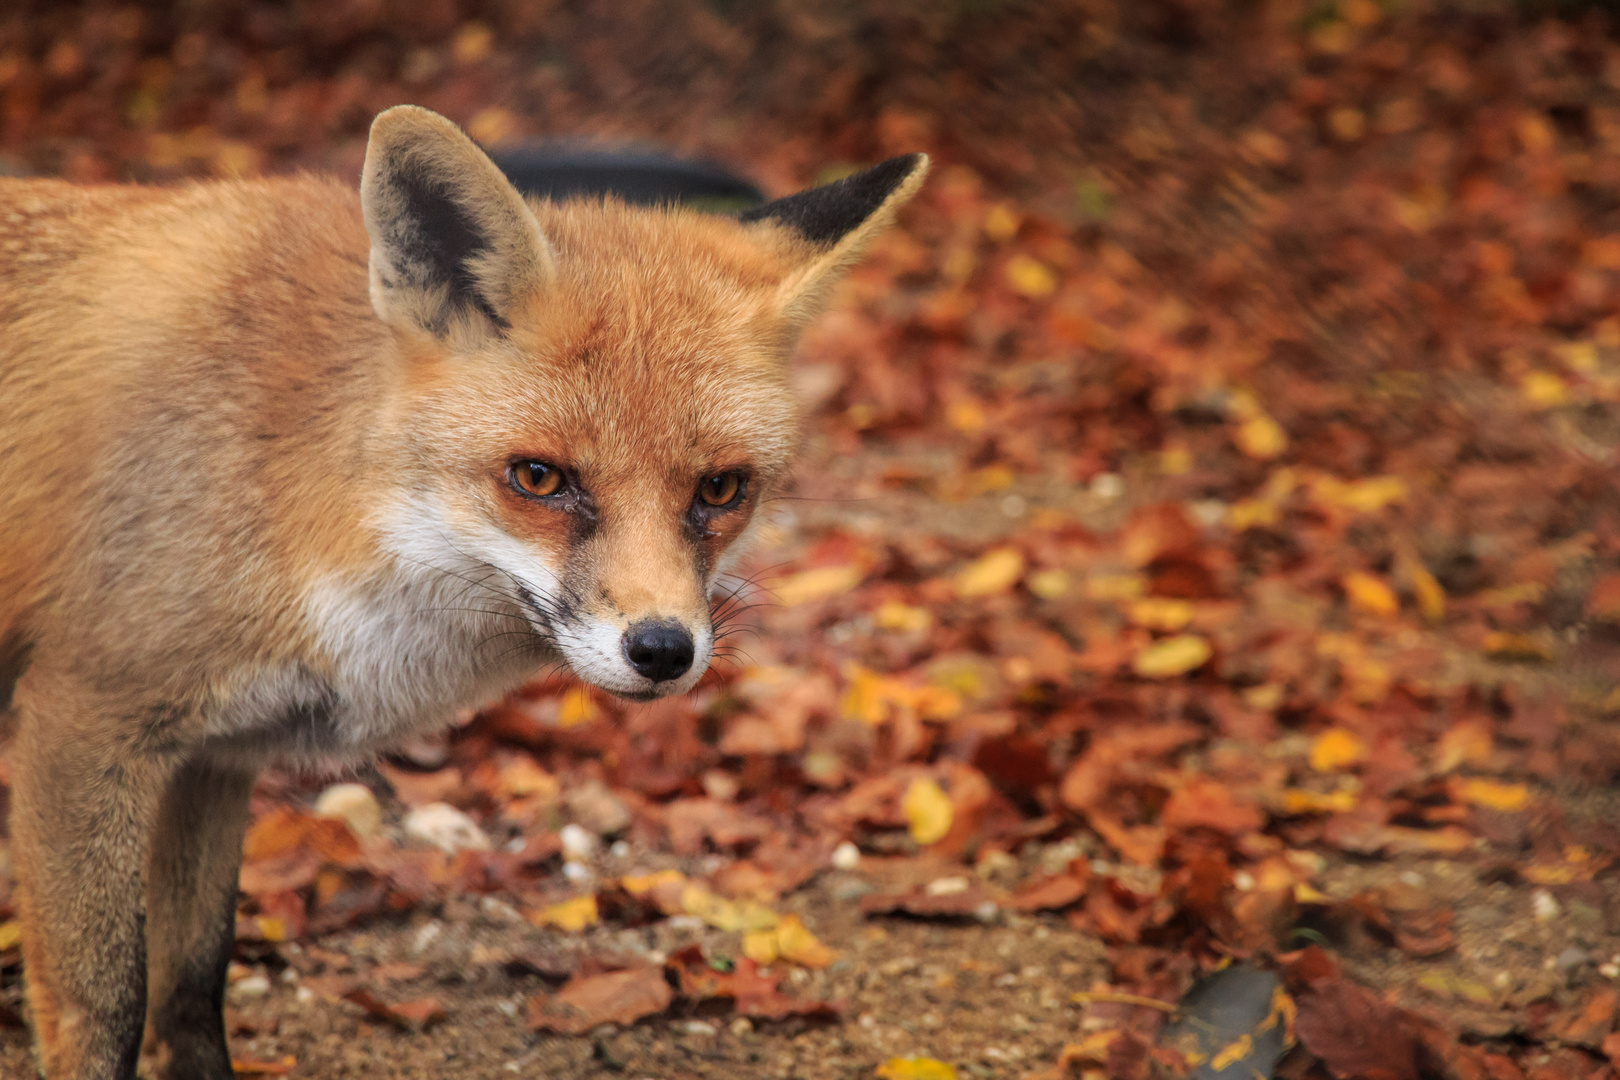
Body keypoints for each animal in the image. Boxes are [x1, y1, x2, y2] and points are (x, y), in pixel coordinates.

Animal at [0, 103, 926, 1080]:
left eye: (720, 489)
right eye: (538, 478)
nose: (664, 650)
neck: (296, 486)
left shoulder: (215, 759)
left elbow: (192, 985)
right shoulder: (83, 722)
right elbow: (107, 1005)